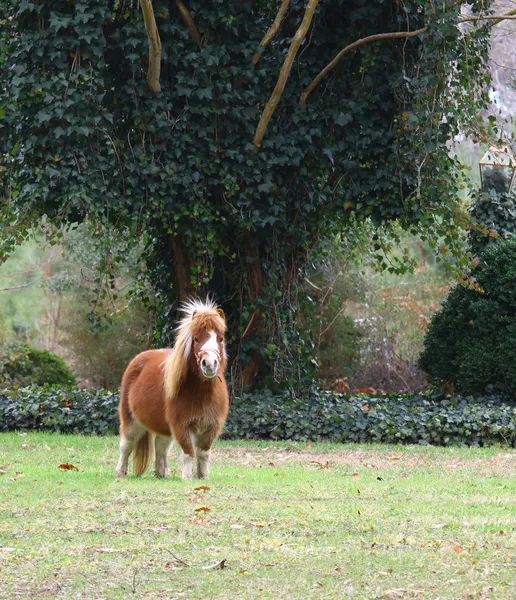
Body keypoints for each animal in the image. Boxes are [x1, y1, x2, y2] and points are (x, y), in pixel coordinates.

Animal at [117, 298, 230, 480]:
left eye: (220, 339)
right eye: (196, 339)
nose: (209, 364)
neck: (201, 393)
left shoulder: (211, 426)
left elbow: (203, 454)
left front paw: (203, 477)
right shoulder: (181, 425)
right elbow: (189, 452)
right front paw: (188, 478)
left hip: (163, 426)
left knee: (160, 447)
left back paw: (162, 474)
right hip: (131, 420)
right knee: (126, 446)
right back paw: (120, 474)